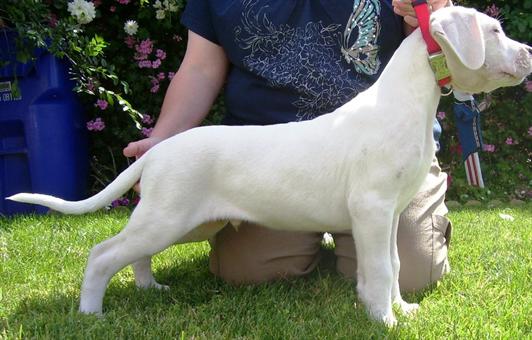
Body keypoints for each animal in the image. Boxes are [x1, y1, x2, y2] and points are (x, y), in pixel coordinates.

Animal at [9, 5, 532, 324]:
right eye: (495, 31)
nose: (529, 52)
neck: (406, 102)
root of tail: (158, 149)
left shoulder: (388, 215)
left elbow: (394, 262)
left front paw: (398, 309)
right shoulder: (372, 208)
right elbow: (383, 268)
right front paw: (385, 321)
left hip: (184, 222)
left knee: (134, 253)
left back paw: (150, 289)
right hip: (168, 217)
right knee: (102, 254)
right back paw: (91, 313)